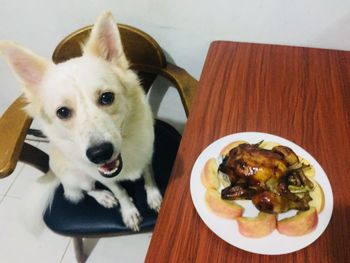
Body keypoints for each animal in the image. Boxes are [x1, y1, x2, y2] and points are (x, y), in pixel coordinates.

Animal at [0, 11, 161, 233]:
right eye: (63, 112)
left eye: (106, 97)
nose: (100, 153)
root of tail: (53, 171)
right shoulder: (103, 176)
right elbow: (119, 191)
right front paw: (128, 211)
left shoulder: (147, 153)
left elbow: (149, 175)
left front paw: (154, 196)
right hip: (79, 176)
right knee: (80, 191)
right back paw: (103, 197)